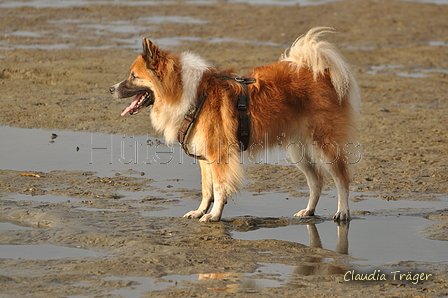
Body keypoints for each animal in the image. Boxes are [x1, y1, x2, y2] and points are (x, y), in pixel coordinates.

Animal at [110, 27, 362, 221]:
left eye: (133, 76)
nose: (111, 88)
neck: (193, 95)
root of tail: (321, 73)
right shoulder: (205, 157)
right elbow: (206, 190)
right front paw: (200, 212)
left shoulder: (219, 155)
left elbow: (220, 188)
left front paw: (214, 215)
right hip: (299, 151)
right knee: (316, 181)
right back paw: (308, 211)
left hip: (324, 145)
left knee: (341, 178)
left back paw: (343, 212)